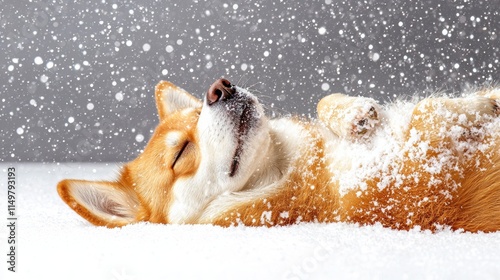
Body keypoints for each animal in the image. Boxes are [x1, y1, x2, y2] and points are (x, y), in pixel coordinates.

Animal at [57, 79, 500, 232]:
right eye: (181, 152)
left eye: (198, 112)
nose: (220, 87)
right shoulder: (411, 181)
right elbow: (430, 111)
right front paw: (480, 106)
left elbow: (325, 100)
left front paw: (355, 114)